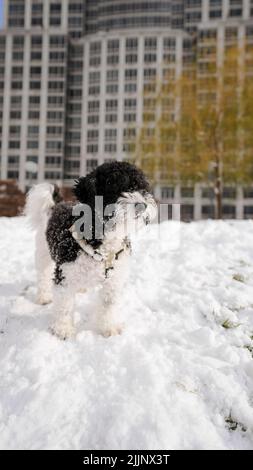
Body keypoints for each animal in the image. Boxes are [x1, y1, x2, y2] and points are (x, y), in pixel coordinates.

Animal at [25, 162, 156, 338]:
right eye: (115, 187)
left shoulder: (113, 279)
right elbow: (65, 305)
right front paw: (62, 329)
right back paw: (44, 296)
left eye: (142, 188)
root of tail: (57, 205)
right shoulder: (65, 275)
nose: (142, 205)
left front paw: (109, 327)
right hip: (43, 253)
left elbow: (108, 305)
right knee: (43, 276)